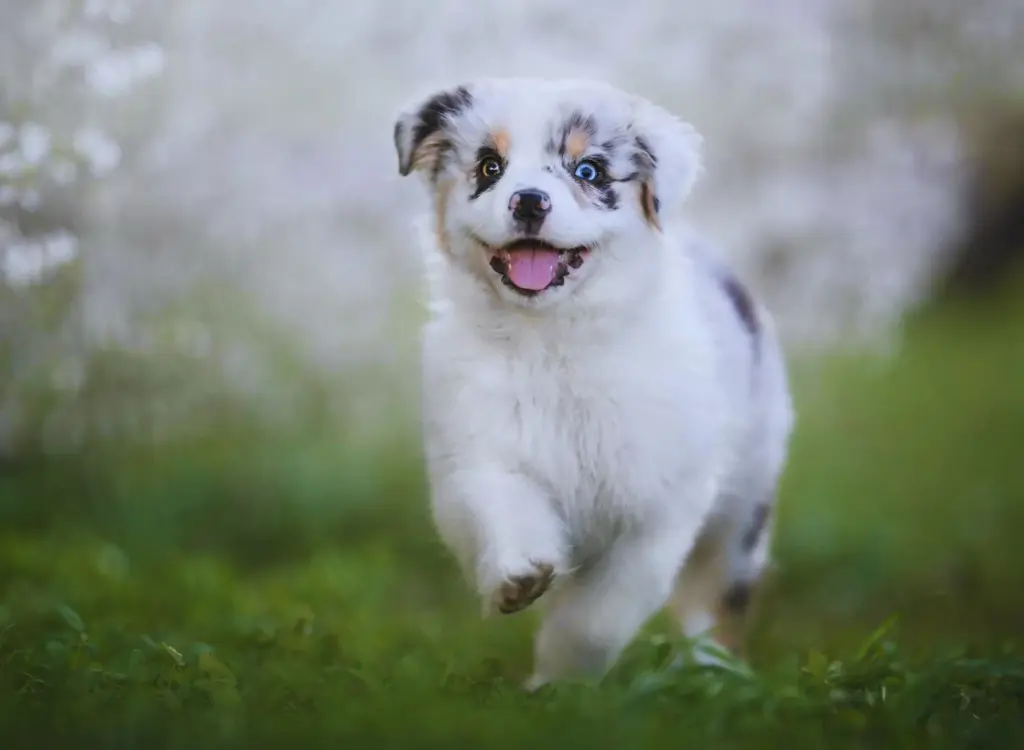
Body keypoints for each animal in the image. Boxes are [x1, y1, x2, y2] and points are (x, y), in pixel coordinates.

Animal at [389, 78, 790, 688]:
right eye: (488, 166)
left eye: (589, 170)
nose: (529, 201)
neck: (554, 340)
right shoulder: (479, 451)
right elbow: (504, 505)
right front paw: (520, 577)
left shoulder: (660, 503)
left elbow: (599, 615)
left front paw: (561, 682)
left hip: (744, 506)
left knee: (717, 597)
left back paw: (714, 673)